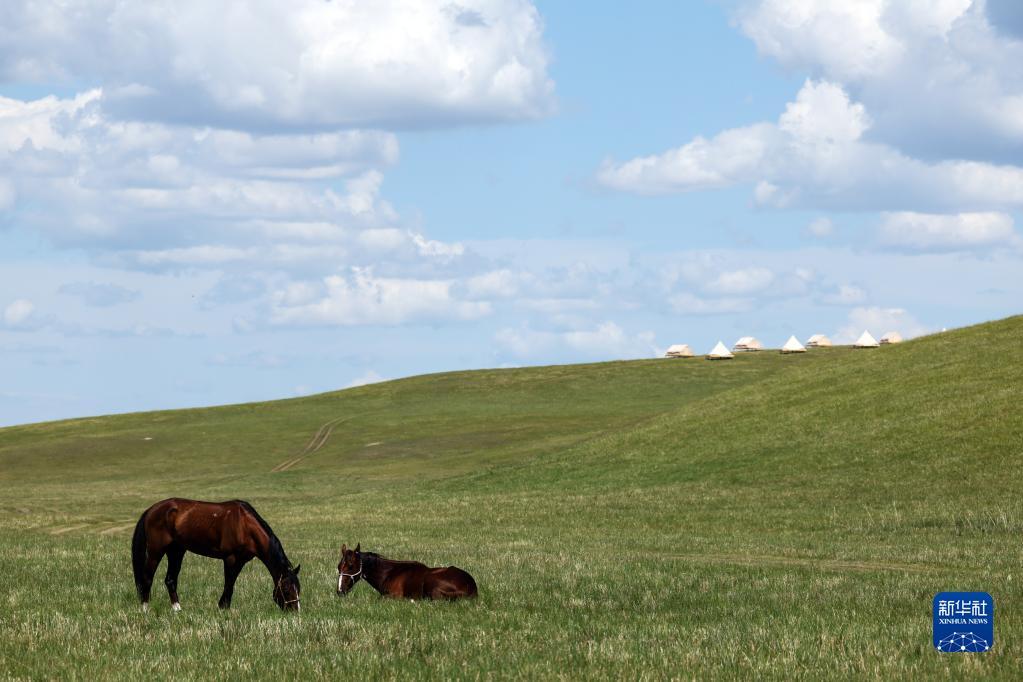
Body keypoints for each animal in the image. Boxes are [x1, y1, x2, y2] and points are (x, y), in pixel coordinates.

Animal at [130, 496, 298, 613]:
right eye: (287, 590)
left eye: (299, 589)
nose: (294, 611)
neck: (244, 524)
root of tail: (151, 509)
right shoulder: (230, 559)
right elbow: (229, 584)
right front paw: (223, 608)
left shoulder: (241, 561)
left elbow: (231, 584)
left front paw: (223, 607)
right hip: (156, 550)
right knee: (147, 578)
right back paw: (145, 610)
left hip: (176, 551)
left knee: (170, 579)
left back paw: (178, 609)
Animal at [337, 539, 476, 601]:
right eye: (338, 567)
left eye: (351, 566)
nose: (340, 591)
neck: (389, 573)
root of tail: (472, 587)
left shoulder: (393, 596)